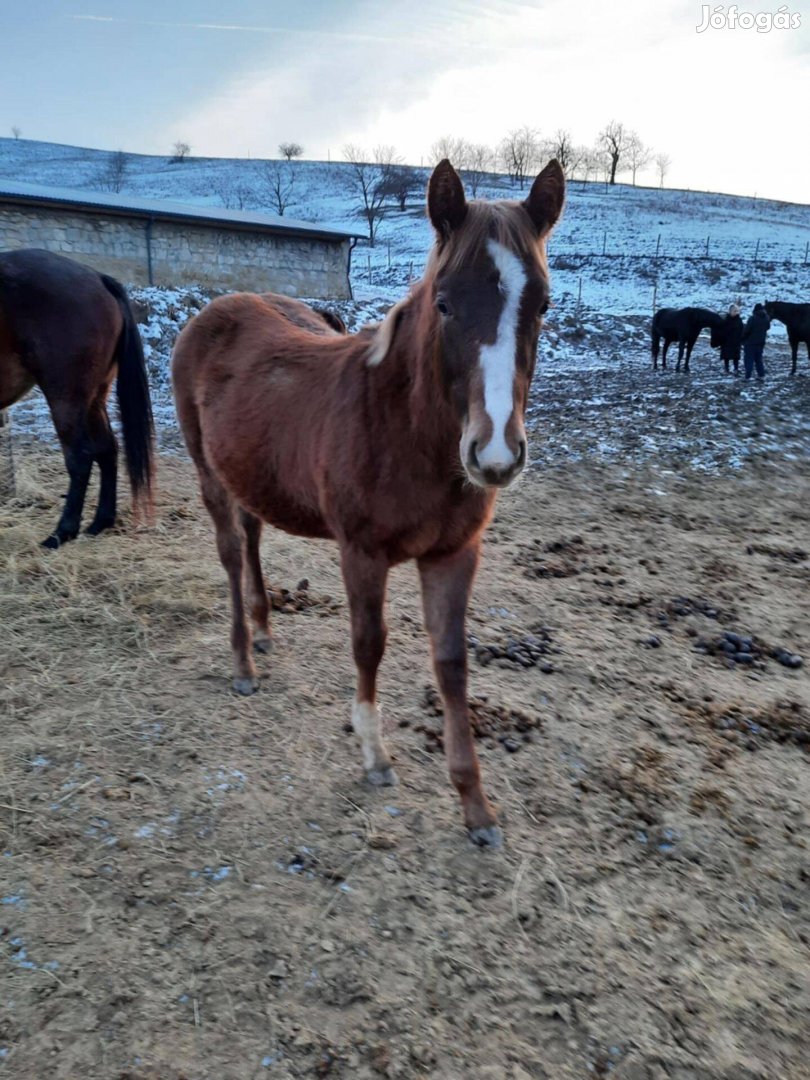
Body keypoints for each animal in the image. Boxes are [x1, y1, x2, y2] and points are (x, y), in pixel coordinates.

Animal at [0, 248, 154, 544]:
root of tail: (98, 278)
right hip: (94, 397)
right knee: (107, 448)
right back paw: (100, 522)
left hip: (66, 395)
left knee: (80, 457)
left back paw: (63, 531)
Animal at [172, 159, 565, 846]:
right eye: (444, 302)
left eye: (541, 303)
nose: (494, 453)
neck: (403, 429)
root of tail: (211, 310)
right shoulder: (361, 552)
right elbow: (368, 643)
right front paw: (375, 755)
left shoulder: (454, 555)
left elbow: (452, 661)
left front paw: (476, 806)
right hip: (209, 476)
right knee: (229, 553)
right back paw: (243, 662)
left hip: (250, 474)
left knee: (252, 539)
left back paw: (266, 632)